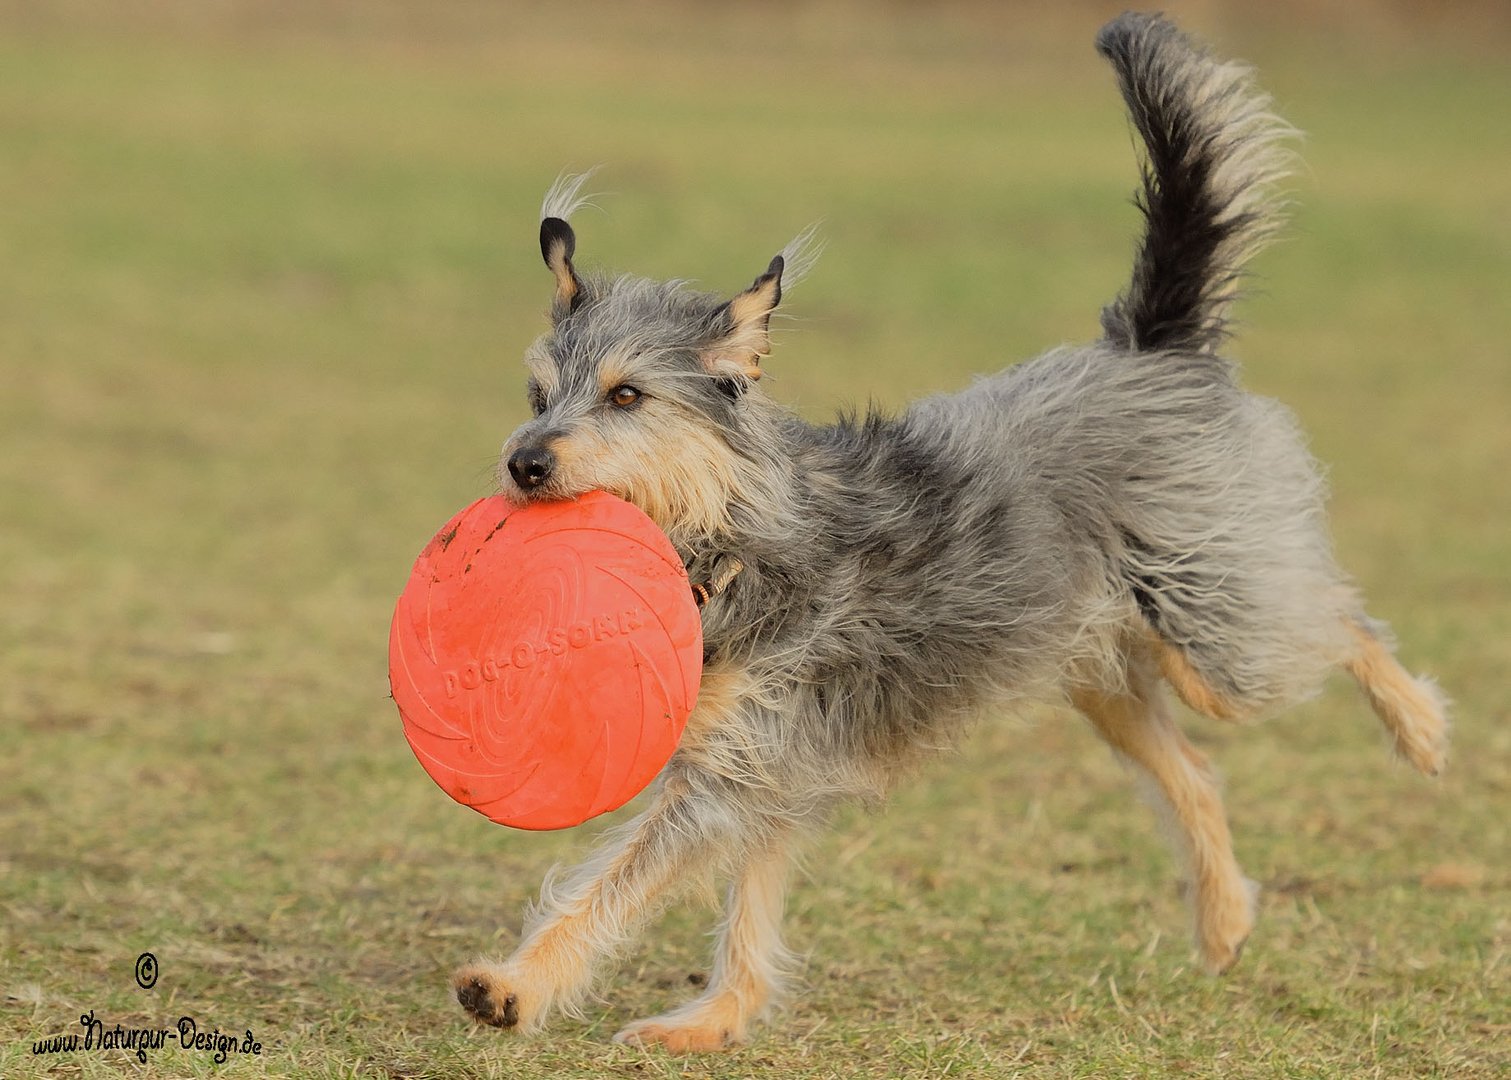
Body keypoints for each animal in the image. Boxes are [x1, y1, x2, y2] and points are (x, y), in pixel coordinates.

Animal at [450, 12, 1450, 1051]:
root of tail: (1152, 345)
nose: (523, 465)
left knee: (1338, 618)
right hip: (1100, 669)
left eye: (626, 396)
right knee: (1195, 773)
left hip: (1217, 632)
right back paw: (1221, 922)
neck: (731, 536)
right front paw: (719, 1018)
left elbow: (611, 885)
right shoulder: (767, 766)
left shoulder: (740, 769)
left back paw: (1419, 730)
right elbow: (747, 913)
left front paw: (515, 987)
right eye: (536, 395)